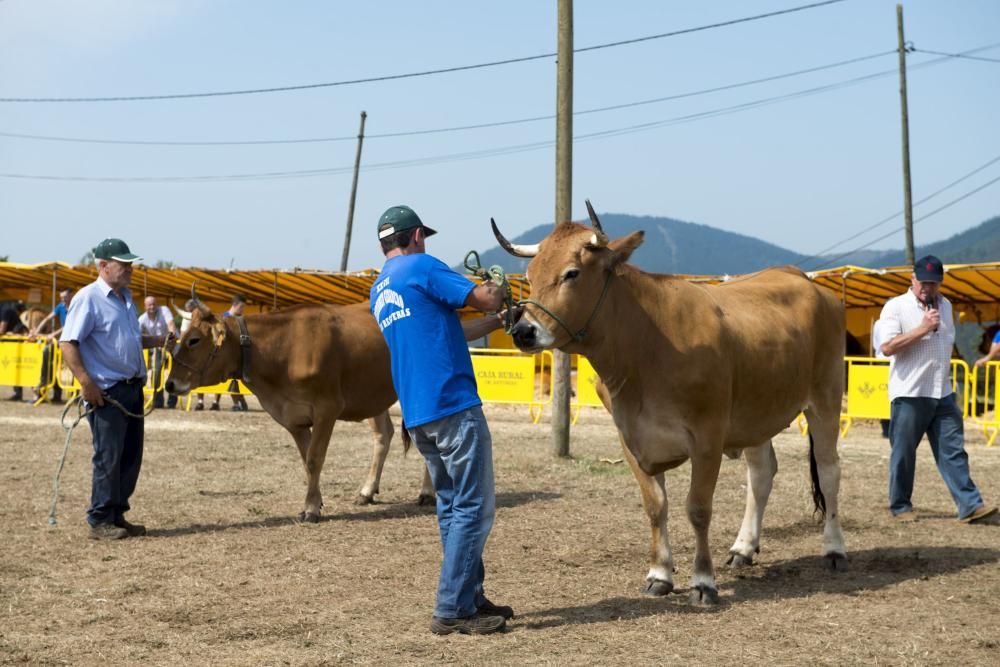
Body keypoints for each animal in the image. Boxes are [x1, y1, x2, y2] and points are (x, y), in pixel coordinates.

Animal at [165, 302, 434, 520]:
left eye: (194, 340)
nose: (169, 384)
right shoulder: (293, 417)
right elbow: (307, 461)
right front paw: (316, 502)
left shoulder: (328, 408)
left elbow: (315, 459)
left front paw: (311, 509)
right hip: (374, 395)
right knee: (383, 436)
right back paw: (367, 492)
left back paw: (428, 492)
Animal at [492, 202, 844, 604]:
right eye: (531, 274)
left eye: (571, 273)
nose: (523, 331)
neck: (645, 350)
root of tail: (801, 279)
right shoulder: (631, 437)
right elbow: (655, 506)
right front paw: (659, 573)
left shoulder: (708, 436)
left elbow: (698, 509)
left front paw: (703, 581)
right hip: (757, 413)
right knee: (761, 474)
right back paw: (743, 547)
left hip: (826, 398)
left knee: (829, 472)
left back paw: (834, 549)